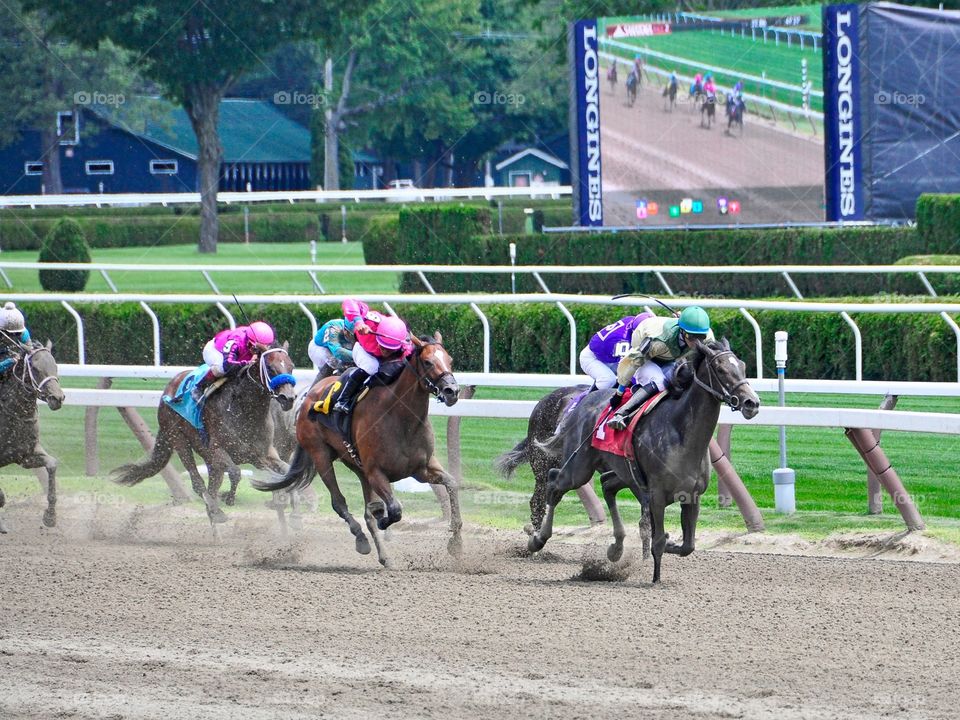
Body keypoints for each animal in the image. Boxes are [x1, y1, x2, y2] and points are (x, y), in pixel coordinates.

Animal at [0, 340, 65, 532]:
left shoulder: (24, 455)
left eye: (55, 365)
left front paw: (50, 516)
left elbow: (52, 464)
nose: (57, 398)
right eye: (35, 368)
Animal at [111, 340, 296, 532]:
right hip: (178, 439)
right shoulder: (217, 449)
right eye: (270, 367)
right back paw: (216, 510)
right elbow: (235, 473)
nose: (288, 398)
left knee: (211, 486)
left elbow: (286, 470)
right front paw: (228, 498)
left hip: (206, 455)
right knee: (198, 482)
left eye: (291, 366)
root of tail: (169, 387)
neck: (246, 411)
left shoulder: (263, 455)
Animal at [253, 334, 464, 568]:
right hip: (321, 456)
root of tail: (309, 394)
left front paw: (456, 544)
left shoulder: (422, 468)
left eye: (450, 360)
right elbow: (394, 509)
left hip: (355, 464)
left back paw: (385, 556)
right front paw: (383, 519)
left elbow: (451, 484)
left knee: (366, 510)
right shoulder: (376, 473)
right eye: (427, 362)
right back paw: (362, 540)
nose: (452, 391)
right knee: (339, 502)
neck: (402, 418)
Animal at [524, 340, 756, 584]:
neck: (682, 432)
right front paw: (655, 577)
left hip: (622, 471)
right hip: (579, 468)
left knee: (606, 484)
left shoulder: (691, 495)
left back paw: (615, 548)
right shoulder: (656, 495)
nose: (752, 402)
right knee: (553, 483)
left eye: (742, 366)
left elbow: (687, 546)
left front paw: (669, 545)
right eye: (720, 369)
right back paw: (538, 539)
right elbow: (658, 539)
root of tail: (582, 401)